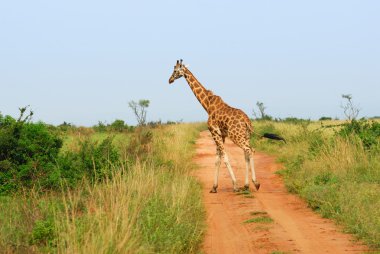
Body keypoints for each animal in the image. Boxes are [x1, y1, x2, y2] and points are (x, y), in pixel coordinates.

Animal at [169, 59, 276, 192]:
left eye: (175, 70)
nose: (169, 80)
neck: (207, 105)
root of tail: (247, 121)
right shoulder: (222, 135)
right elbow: (217, 159)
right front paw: (214, 187)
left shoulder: (214, 131)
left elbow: (224, 158)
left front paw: (235, 185)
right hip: (245, 135)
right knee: (246, 154)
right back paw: (246, 185)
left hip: (236, 136)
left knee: (250, 150)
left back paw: (255, 183)